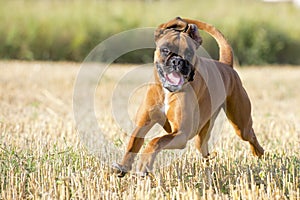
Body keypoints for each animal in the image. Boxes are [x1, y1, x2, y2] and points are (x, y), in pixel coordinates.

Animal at [111, 16, 264, 177]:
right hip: (203, 133)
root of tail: (226, 65)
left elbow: (156, 140)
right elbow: (132, 143)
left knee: (251, 135)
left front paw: (144, 163)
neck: (168, 91)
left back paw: (259, 153)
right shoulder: (142, 124)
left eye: (189, 53)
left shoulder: (181, 134)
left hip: (240, 124)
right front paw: (123, 166)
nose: (177, 61)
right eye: (165, 50)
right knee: (204, 149)